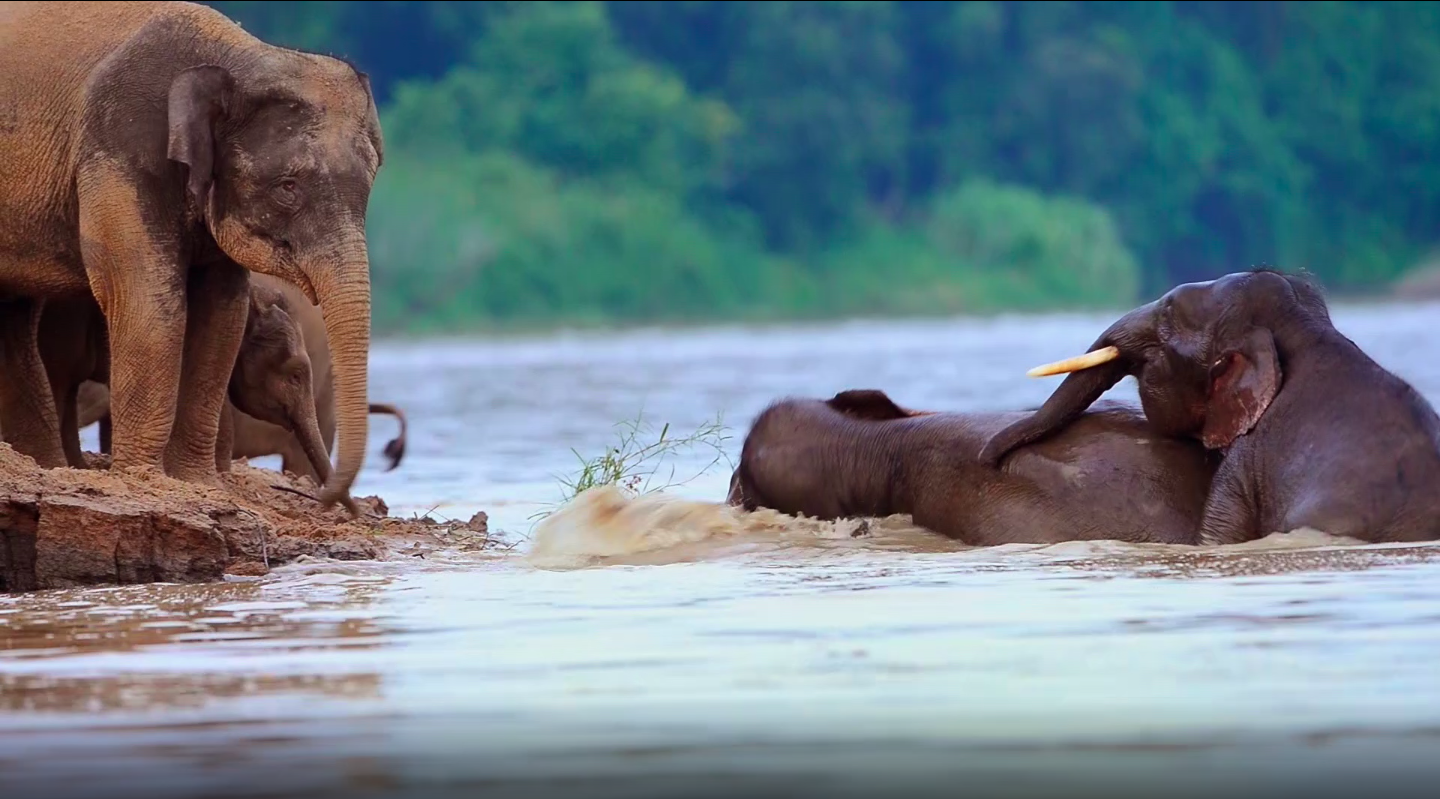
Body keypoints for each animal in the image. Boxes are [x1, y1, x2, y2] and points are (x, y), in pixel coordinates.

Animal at [0, 1, 383, 510]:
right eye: (288, 186)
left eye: (369, 185)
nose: (331, 501)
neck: (239, 57)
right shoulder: (120, 148)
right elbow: (148, 304)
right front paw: (145, 480)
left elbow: (222, 313)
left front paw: (198, 483)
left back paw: (47, 466)